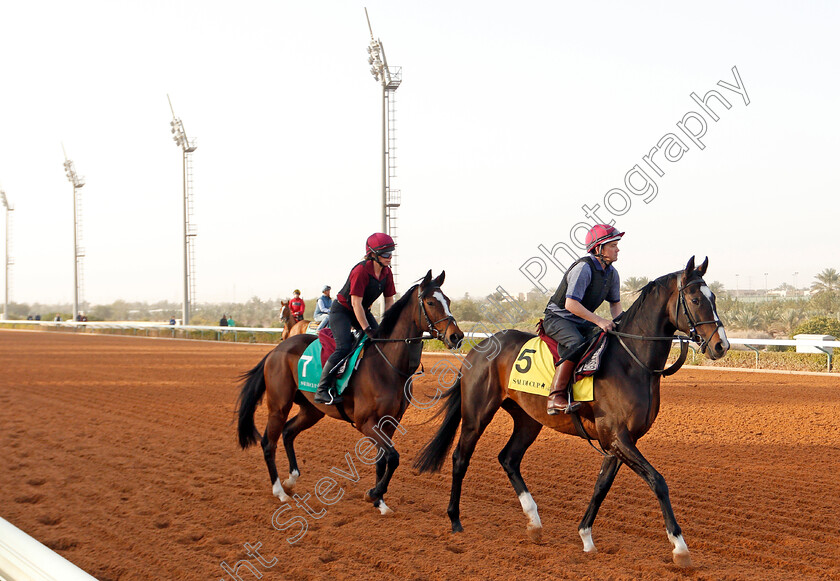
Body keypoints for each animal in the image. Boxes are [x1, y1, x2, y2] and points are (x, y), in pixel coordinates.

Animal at [236, 270, 466, 512]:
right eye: (431, 302)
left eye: (448, 301)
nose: (456, 336)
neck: (388, 364)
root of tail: (276, 350)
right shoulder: (366, 422)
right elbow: (393, 457)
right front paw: (373, 493)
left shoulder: (390, 422)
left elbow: (383, 460)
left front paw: (380, 503)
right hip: (279, 405)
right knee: (268, 443)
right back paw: (279, 491)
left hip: (312, 410)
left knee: (288, 431)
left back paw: (291, 481)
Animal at [416, 258, 732, 568]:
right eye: (695, 299)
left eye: (714, 298)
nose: (721, 345)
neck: (632, 362)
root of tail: (478, 347)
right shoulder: (617, 437)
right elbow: (658, 482)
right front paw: (680, 547)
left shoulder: (617, 441)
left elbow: (601, 486)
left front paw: (586, 537)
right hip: (477, 414)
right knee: (461, 457)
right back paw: (456, 521)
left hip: (528, 420)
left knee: (508, 458)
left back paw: (534, 522)